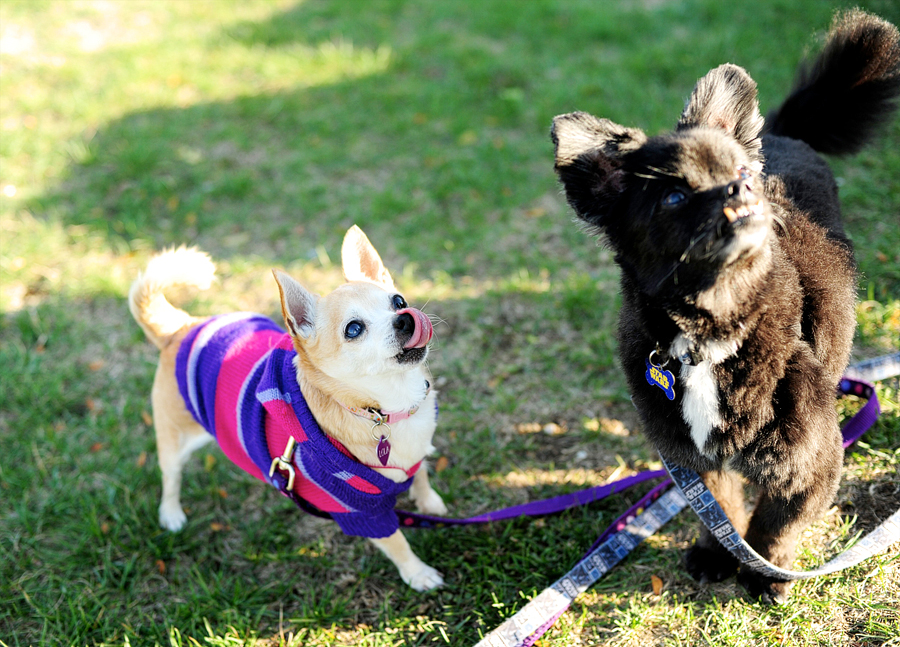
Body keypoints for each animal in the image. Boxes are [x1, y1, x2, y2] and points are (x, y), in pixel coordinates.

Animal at [552, 10, 896, 604]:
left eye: (741, 173)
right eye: (674, 196)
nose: (741, 190)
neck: (710, 336)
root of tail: (779, 133)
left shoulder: (811, 463)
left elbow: (776, 524)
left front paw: (766, 571)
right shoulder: (694, 459)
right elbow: (725, 513)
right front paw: (720, 554)